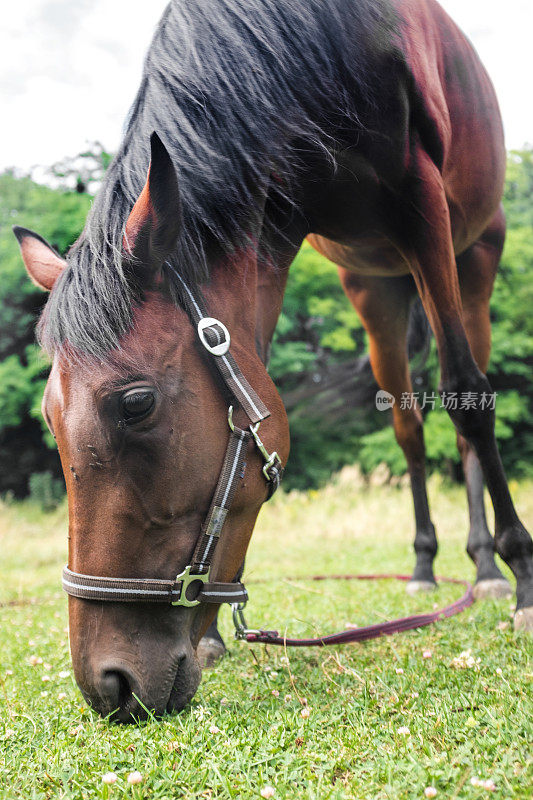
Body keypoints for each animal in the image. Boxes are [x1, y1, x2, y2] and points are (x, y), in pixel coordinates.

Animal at [14, 0, 528, 724]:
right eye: (50, 417)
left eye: (136, 404)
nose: (108, 685)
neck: (316, 46)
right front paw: (212, 638)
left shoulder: (422, 203)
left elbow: (466, 397)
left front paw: (523, 578)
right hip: (373, 287)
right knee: (407, 427)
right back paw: (428, 566)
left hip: (472, 256)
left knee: (465, 406)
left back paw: (486, 567)